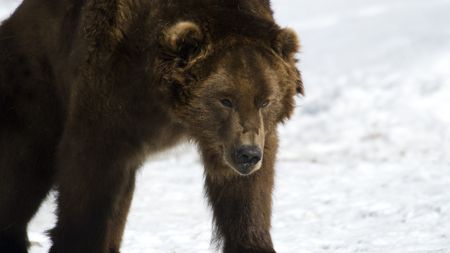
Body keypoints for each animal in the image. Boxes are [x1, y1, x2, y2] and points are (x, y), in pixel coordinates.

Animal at [0, 0, 304, 253]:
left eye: (265, 100)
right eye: (225, 99)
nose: (247, 155)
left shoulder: (239, 139)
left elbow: (246, 194)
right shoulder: (111, 91)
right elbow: (89, 171)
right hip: (36, 86)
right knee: (24, 170)